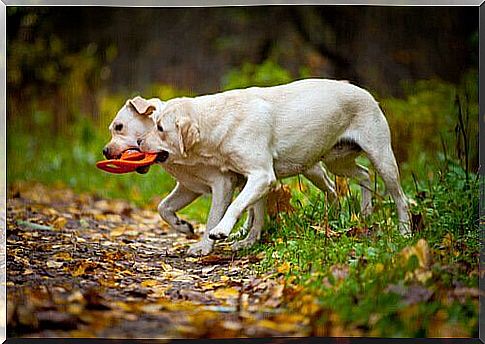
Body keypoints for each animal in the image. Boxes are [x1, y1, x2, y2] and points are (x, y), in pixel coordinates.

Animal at [101, 94, 336, 255]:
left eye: (119, 127)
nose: (104, 151)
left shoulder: (222, 184)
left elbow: (212, 218)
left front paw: (204, 246)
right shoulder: (189, 187)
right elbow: (163, 208)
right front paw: (183, 226)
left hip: (309, 168)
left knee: (330, 186)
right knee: (254, 211)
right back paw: (244, 235)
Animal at [138, 78, 410, 241]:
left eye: (160, 128)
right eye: (154, 122)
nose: (139, 141)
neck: (219, 119)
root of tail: (367, 92)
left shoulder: (261, 176)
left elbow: (237, 205)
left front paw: (221, 231)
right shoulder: (252, 178)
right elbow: (253, 210)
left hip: (381, 156)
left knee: (400, 197)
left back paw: (405, 231)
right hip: (336, 161)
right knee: (364, 174)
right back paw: (363, 212)